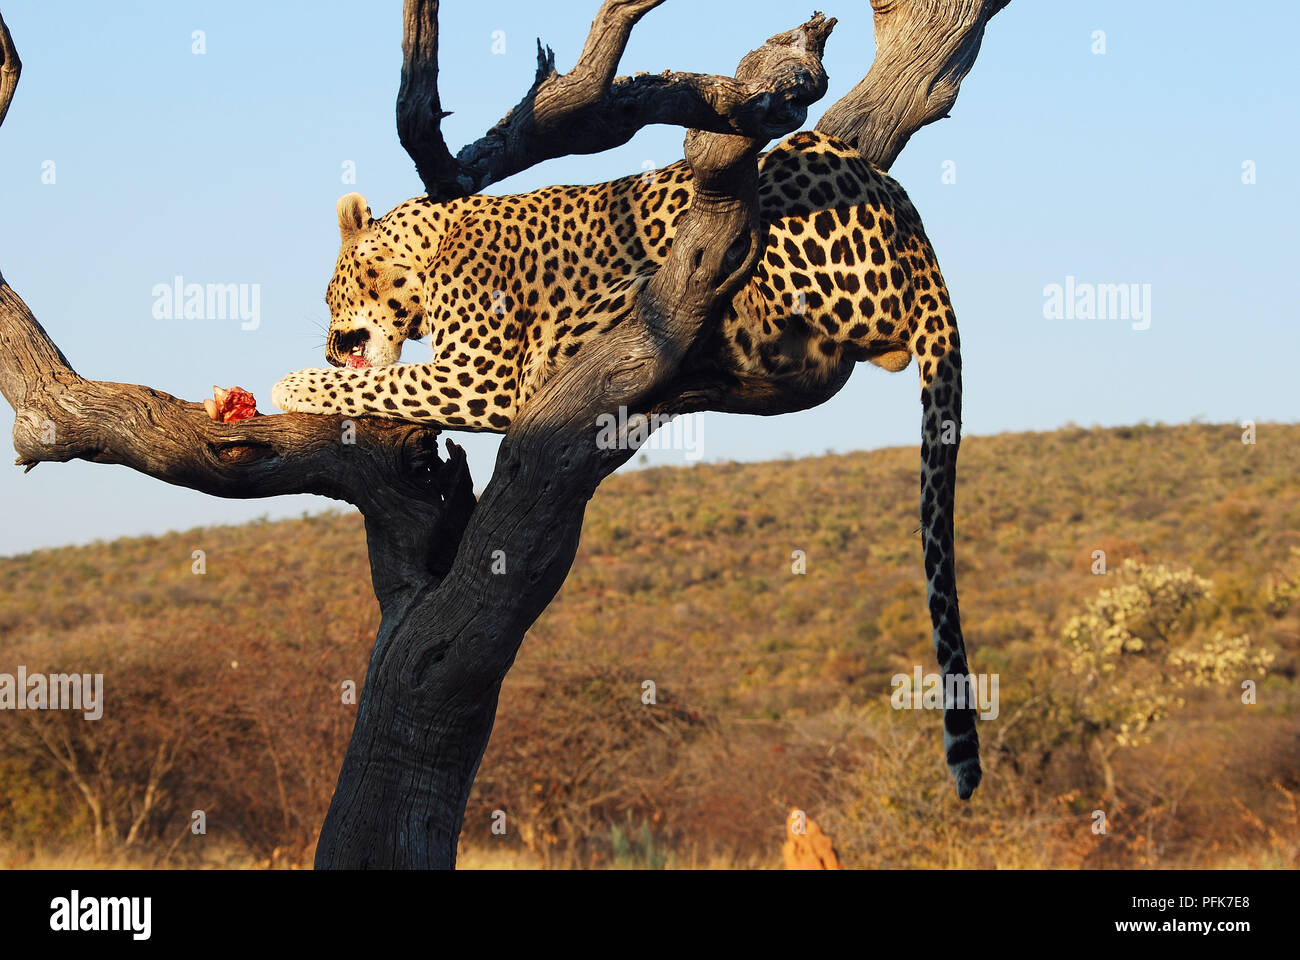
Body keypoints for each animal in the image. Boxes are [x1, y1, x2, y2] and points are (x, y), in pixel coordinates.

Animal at [276, 130, 982, 796]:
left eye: (332, 295)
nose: (333, 346)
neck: (432, 244)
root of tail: (917, 237)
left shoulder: (480, 374)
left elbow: (380, 386)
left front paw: (295, 384)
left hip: (780, 190)